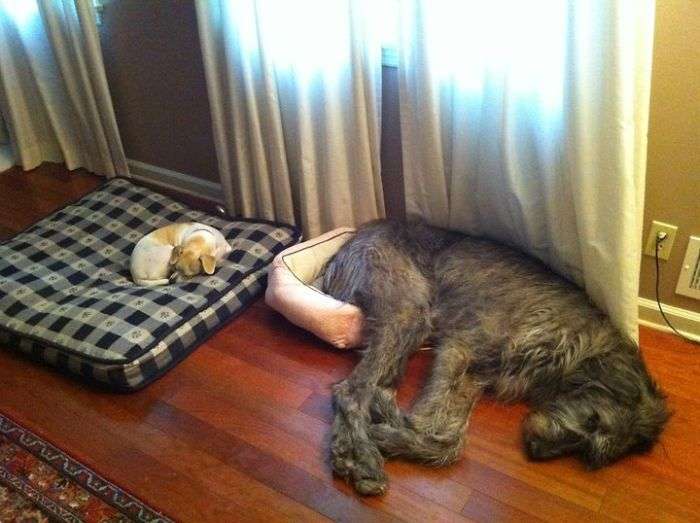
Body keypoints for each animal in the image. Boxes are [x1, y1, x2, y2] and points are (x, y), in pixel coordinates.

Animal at [322, 219, 668, 498]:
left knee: (365, 387)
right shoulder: (460, 347)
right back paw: (365, 459)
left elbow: (447, 438)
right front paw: (387, 431)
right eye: (592, 420)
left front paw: (392, 428)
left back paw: (346, 451)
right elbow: (436, 429)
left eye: (588, 451)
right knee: (350, 390)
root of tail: (351, 239)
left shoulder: (475, 377)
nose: (535, 451)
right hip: (408, 311)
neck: (579, 345)